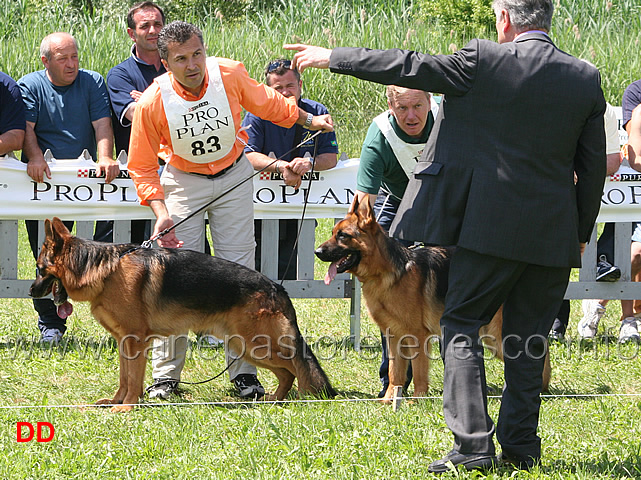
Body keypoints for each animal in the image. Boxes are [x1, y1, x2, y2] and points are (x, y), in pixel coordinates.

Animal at [28, 219, 336, 410]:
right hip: (245, 346)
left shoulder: (135, 342)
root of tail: (276, 287)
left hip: (254, 345)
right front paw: (117, 402)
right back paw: (276, 399)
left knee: (296, 367)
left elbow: (132, 380)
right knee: (288, 372)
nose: (31, 292)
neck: (106, 269)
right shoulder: (125, 343)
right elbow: (124, 378)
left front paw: (127, 407)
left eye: (40, 269)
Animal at [316, 197, 552, 404]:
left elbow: (419, 373)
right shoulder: (394, 337)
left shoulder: (418, 336)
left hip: (496, 336)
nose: (317, 251)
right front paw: (389, 400)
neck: (387, 273)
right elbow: (395, 373)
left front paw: (417, 401)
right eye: (333, 233)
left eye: (343, 236)